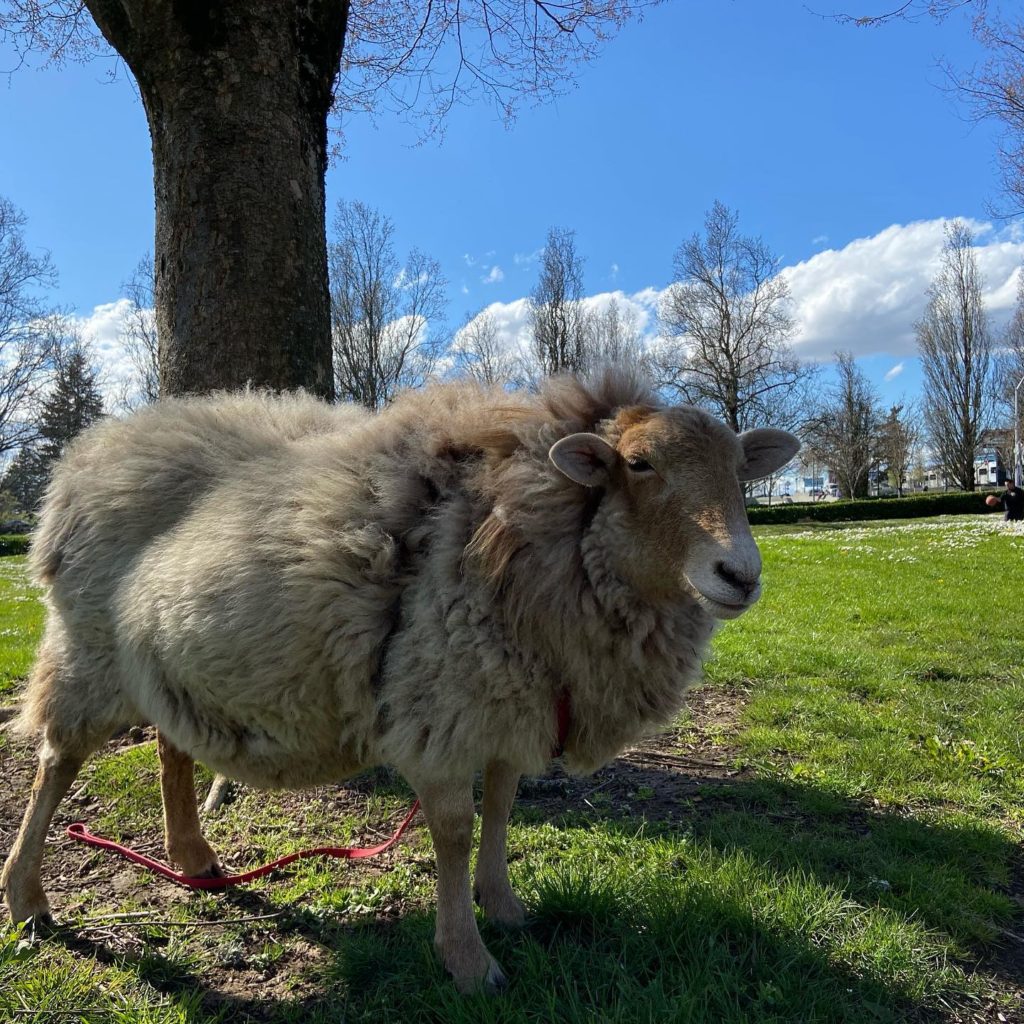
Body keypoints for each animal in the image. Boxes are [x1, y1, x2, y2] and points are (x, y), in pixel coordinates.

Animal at [2, 368, 798, 991]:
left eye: (741, 470)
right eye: (637, 464)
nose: (741, 574)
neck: (529, 530)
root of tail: (87, 460)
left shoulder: (512, 704)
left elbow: (502, 807)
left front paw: (504, 908)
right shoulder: (441, 705)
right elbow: (454, 829)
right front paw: (468, 961)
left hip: (172, 665)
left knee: (172, 746)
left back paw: (193, 860)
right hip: (86, 655)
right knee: (55, 763)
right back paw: (28, 898)